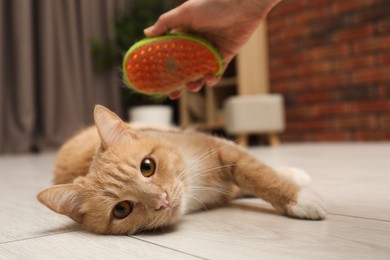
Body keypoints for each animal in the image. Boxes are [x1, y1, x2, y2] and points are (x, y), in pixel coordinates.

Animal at [38, 104, 326, 235]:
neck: (198, 186)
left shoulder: (223, 149)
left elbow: (257, 173)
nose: (162, 201)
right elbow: (246, 182)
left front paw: (298, 196)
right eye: (121, 210)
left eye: (147, 166)